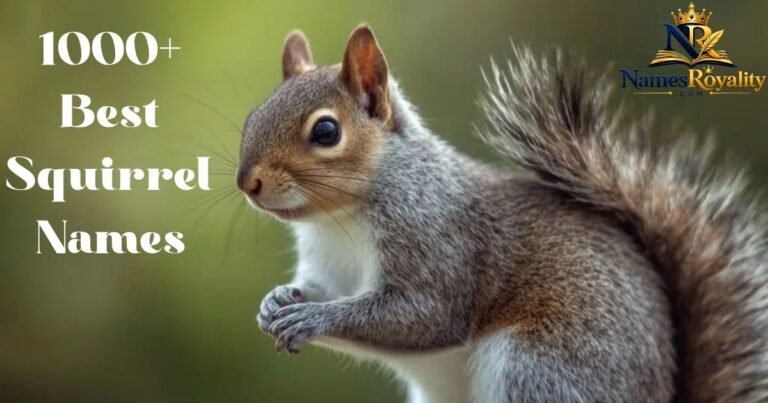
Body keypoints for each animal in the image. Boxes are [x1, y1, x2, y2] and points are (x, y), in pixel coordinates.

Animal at [236, 25, 768, 403]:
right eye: (252, 117)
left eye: (326, 132)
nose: (248, 183)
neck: (339, 219)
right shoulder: (328, 266)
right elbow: (320, 290)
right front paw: (277, 301)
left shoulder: (436, 240)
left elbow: (424, 314)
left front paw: (311, 319)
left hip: (538, 369)